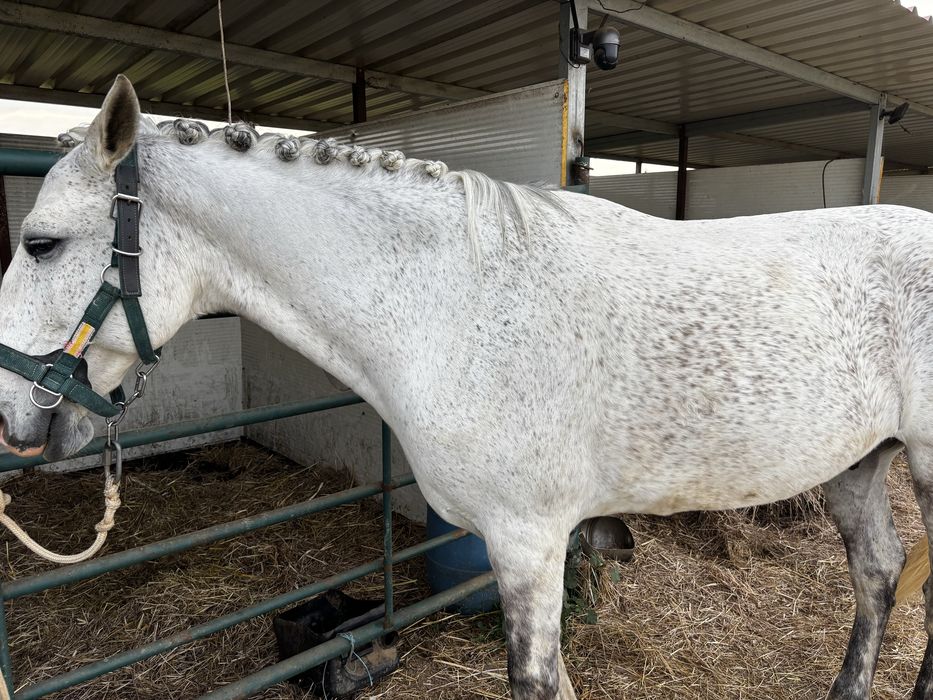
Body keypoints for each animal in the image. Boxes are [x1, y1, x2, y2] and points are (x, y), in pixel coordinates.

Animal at [1, 74, 932, 700]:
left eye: (41, 243)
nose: (14, 418)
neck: (458, 301)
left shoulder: (527, 541)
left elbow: (535, 682)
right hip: (855, 465)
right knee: (878, 574)